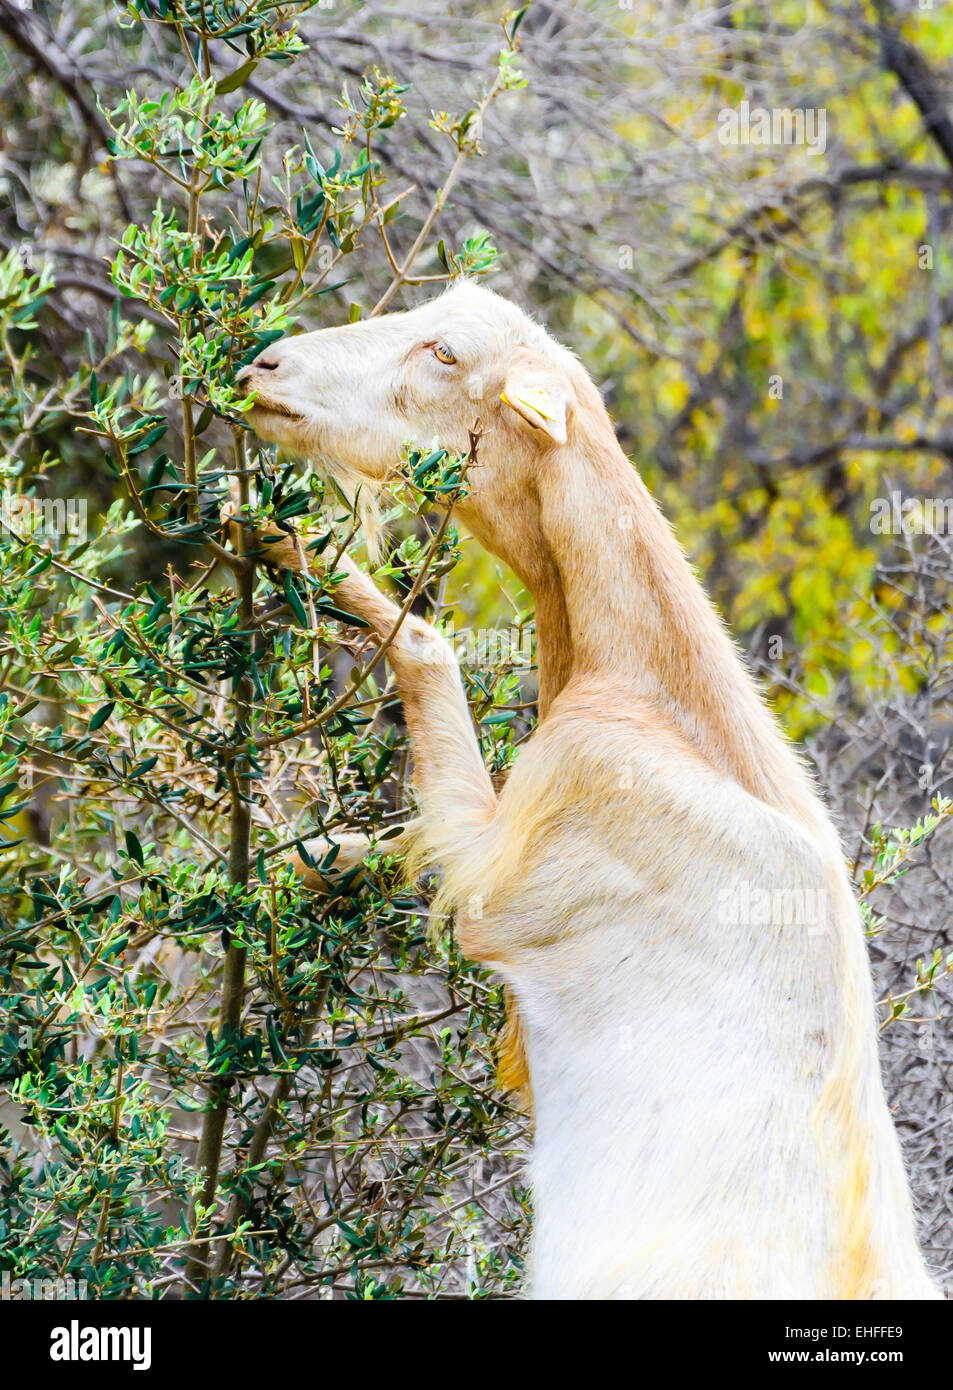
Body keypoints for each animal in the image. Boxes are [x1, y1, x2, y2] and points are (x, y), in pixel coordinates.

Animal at [234, 280, 940, 1300]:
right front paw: (319, 860)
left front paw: (285, 538)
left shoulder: (537, 838)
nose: (265, 365)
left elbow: (429, 660)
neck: (662, 700)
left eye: (444, 353)